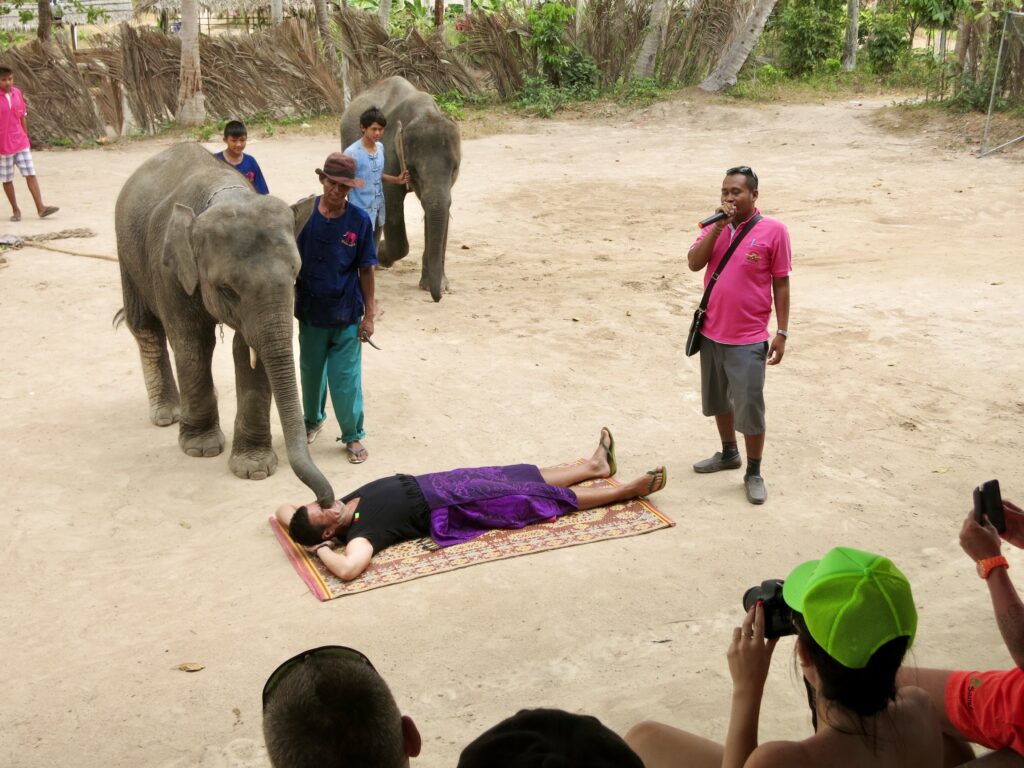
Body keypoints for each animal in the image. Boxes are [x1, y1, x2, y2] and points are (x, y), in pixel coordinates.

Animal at [113, 143, 335, 512]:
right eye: (227, 289)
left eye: (295, 276)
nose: (323, 502)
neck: (227, 197)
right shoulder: (170, 269)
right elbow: (192, 340)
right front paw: (200, 449)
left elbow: (248, 351)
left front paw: (254, 469)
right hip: (125, 249)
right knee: (145, 325)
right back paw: (167, 415)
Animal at [339, 75, 460, 303]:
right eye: (413, 170)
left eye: (455, 168)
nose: (437, 298)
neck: (424, 112)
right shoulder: (388, 154)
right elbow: (391, 204)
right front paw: (382, 253)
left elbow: (439, 209)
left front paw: (436, 285)